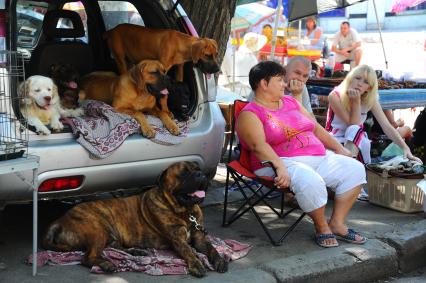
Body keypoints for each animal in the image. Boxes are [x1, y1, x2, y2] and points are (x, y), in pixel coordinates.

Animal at [42, 162, 228, 278]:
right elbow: (189, 251)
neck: (185, 211)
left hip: (108, 233)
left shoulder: (200, 238)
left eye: (198, 168)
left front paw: (220, 260)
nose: (200, 174)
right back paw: (107, 264)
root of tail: (60, 220)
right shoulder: (178, 240)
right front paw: (197, 265)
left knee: (113, 247)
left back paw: (136, 252)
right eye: (183, 173)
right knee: (89, 257)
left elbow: (212, 248)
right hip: (97, 229)